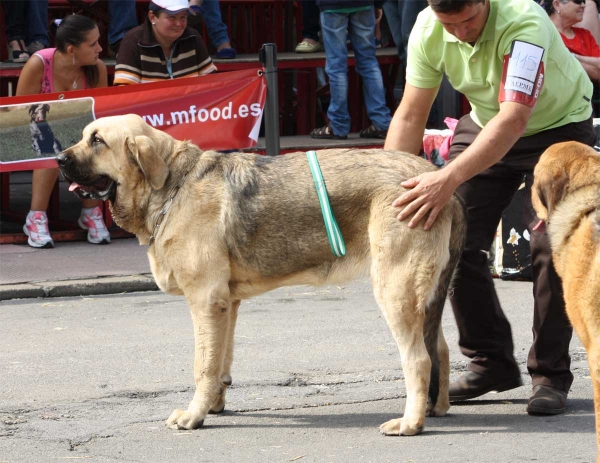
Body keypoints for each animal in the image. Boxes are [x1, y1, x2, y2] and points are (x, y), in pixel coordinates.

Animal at [56, 114, 466, 436]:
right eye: (85, 136)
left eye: (97, 141)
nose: (58, 159)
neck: (172, 187)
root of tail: (438, 181)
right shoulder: (227, 304)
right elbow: (221, 360)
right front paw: (215, 403)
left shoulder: (206, 301)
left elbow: (203, 365)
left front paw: (194, 415)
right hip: (423, 296)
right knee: (440, 348)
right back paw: (436, 408)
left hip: (394, 290)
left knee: (418, 359)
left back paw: (410, 422)